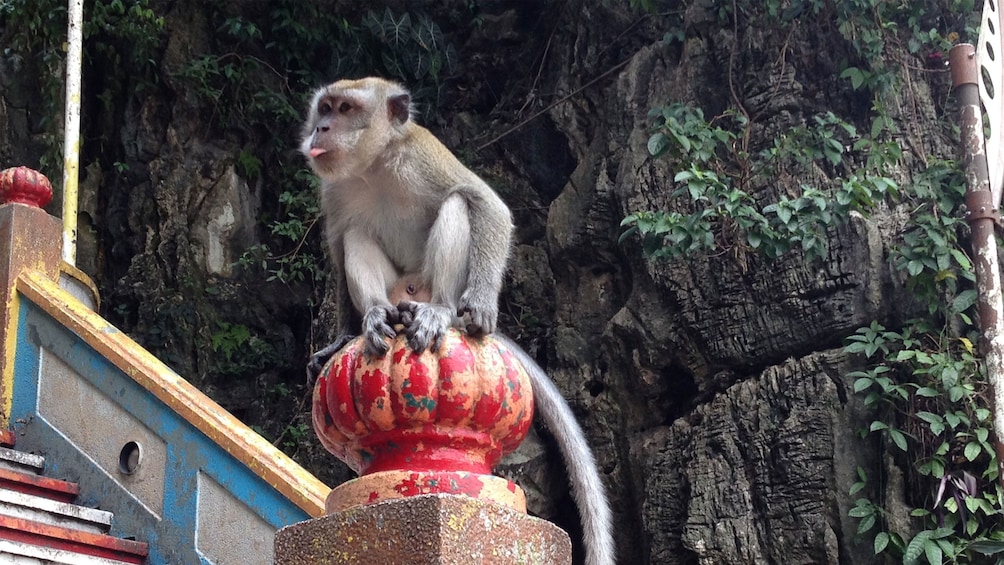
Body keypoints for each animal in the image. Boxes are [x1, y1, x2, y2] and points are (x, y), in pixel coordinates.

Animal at [299, 78, 610, 565]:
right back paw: (379, 316)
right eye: (326, 107)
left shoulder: (422, 155)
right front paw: (342, 336)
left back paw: (439, 312)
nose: (322, 128)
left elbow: (485, 203)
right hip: (397, 288)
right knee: (355, 234)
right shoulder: (334, 191)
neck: (374, 166)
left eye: (346, 109)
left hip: (427, 285)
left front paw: (480, 303)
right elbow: (337, 242)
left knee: (457, 205)